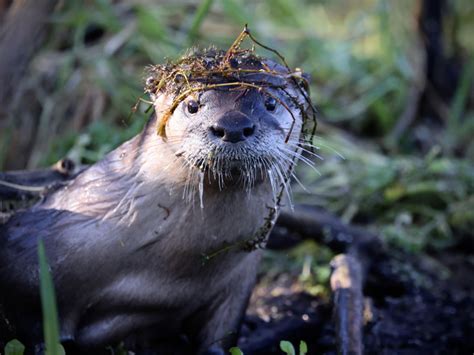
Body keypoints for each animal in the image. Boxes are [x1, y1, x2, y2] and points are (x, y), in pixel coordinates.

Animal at [0, 34, 312, 354]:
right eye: (192, 105)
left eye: (271, 102)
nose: (233, 126)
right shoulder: (25, 259)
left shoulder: (236, 287)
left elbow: (219, 337)